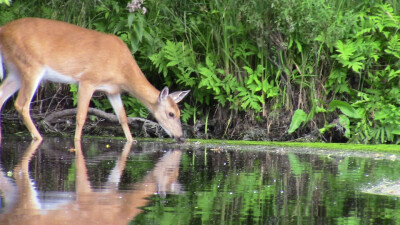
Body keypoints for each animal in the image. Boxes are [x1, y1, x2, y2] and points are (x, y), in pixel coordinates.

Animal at [0, 18, 190, 143]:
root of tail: (3, 30)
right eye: (171, 114)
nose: (180, 137)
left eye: (179, 113)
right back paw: (39, 137)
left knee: (2, 96)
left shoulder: (113, 91)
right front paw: (77, 142)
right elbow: (81, 116)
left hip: (16, 71)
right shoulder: (87, 81)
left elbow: (123, 117)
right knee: (21, 104)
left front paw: (131, 141)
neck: (122, 69)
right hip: (31, 66)